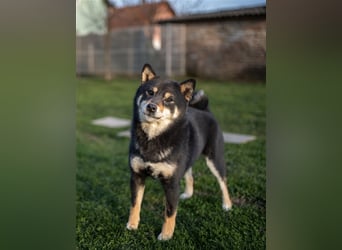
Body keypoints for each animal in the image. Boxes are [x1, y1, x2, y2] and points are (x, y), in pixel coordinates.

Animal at [125, 64, 232, 240]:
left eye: (169, 99)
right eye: (150, 92)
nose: (151, 107)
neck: (153, 137)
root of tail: (206, 110)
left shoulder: (171, 183)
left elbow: (170, 212)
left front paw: (166, 235)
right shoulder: (137, 176)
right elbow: (135, 203)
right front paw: (132, 225)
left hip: (215, 159)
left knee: (223, 181)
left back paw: (227, 204)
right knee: (190, 174)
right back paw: (188, 194)